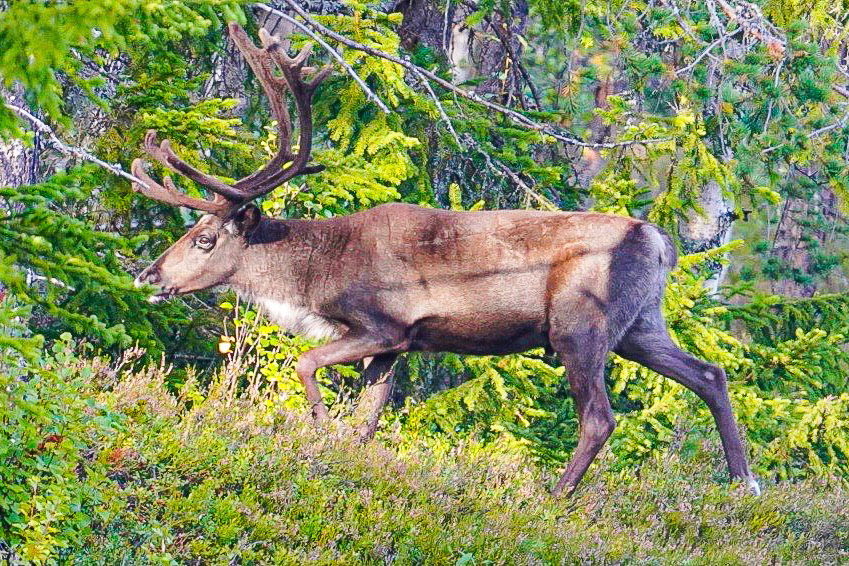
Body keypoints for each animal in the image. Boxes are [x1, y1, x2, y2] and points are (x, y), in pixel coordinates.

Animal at [131, 22, 760, 497]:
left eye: (206, 239)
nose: (148, 275)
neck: (316, 276)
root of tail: (658, 241)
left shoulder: (382, 324)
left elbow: (307, 365)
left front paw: (318, 435)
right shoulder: (397, 344)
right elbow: (368, 418)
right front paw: (346, 454)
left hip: (578, 324)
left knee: (600, 417)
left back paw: (555, 499)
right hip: (640, 324)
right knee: (710, 373)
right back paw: (743, 483)